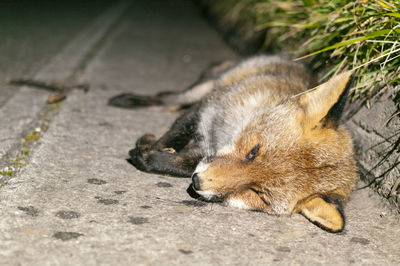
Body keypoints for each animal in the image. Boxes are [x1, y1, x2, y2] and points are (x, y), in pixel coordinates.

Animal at [108, 55, 356, 232]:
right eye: (253, 151)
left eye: (257, 193)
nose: (198, 182)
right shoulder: (207, 107)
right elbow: (175, 134)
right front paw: (151, 148)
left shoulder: (201, 151)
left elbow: (183, 163)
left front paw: (151, 156)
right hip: (204, 88)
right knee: (170, 99)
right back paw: (127, 100)